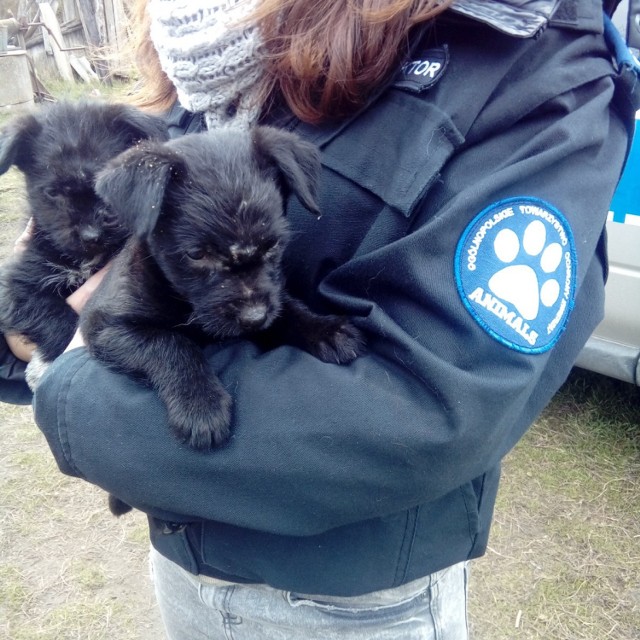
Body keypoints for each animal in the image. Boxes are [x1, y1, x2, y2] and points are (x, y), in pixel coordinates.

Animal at [82, 126, 364, 460]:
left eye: (273, 244)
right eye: (197, 254)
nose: (254, 318)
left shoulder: (270, 299)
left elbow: (287, 310)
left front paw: (325, 328)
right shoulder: (104, 326)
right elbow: (169, 342)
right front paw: (200, 404)